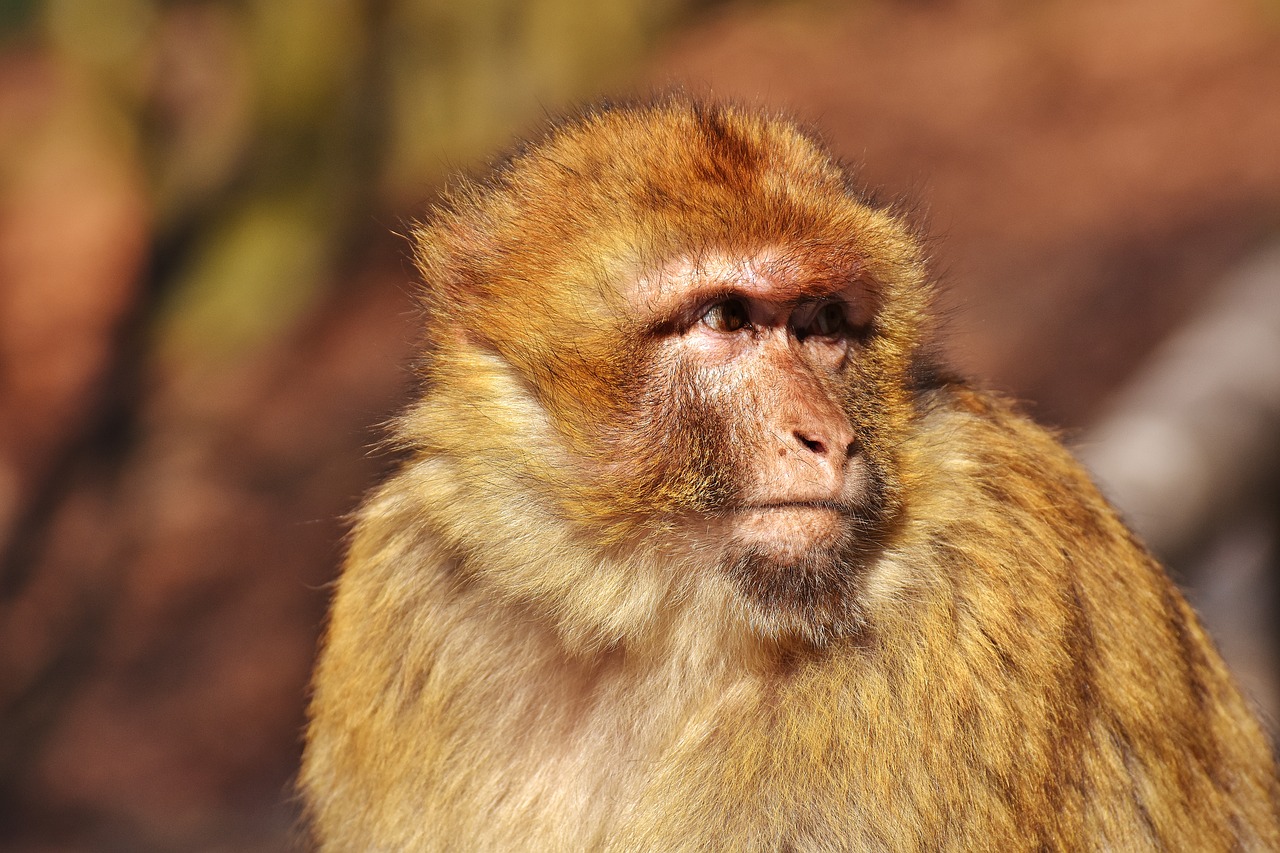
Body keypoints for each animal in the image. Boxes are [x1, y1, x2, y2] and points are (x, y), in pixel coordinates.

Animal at [299, 101, 1280, 850]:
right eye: (726, 317)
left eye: (823, 322)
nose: (830, 439)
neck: (650, 622)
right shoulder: (416, 592)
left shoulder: (970, 589)